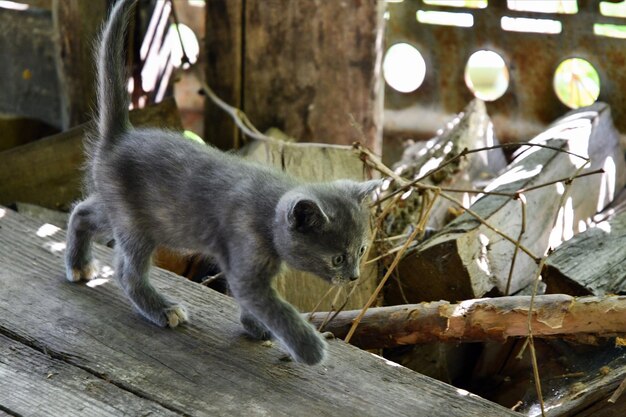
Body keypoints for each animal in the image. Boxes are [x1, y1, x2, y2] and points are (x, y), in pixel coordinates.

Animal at [65, 0, 376, 364]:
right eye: (337, 258)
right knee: (127, 271)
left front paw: (257, 328)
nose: (354, 275)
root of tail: (121, 136)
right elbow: (276, 307)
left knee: (82, 211)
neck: (269, 210)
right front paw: (309, 348)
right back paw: (162, 309)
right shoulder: (247, 266)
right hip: (135, 222)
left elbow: (256, 304)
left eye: (362, 249)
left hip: (119, 208)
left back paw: (78, 266)